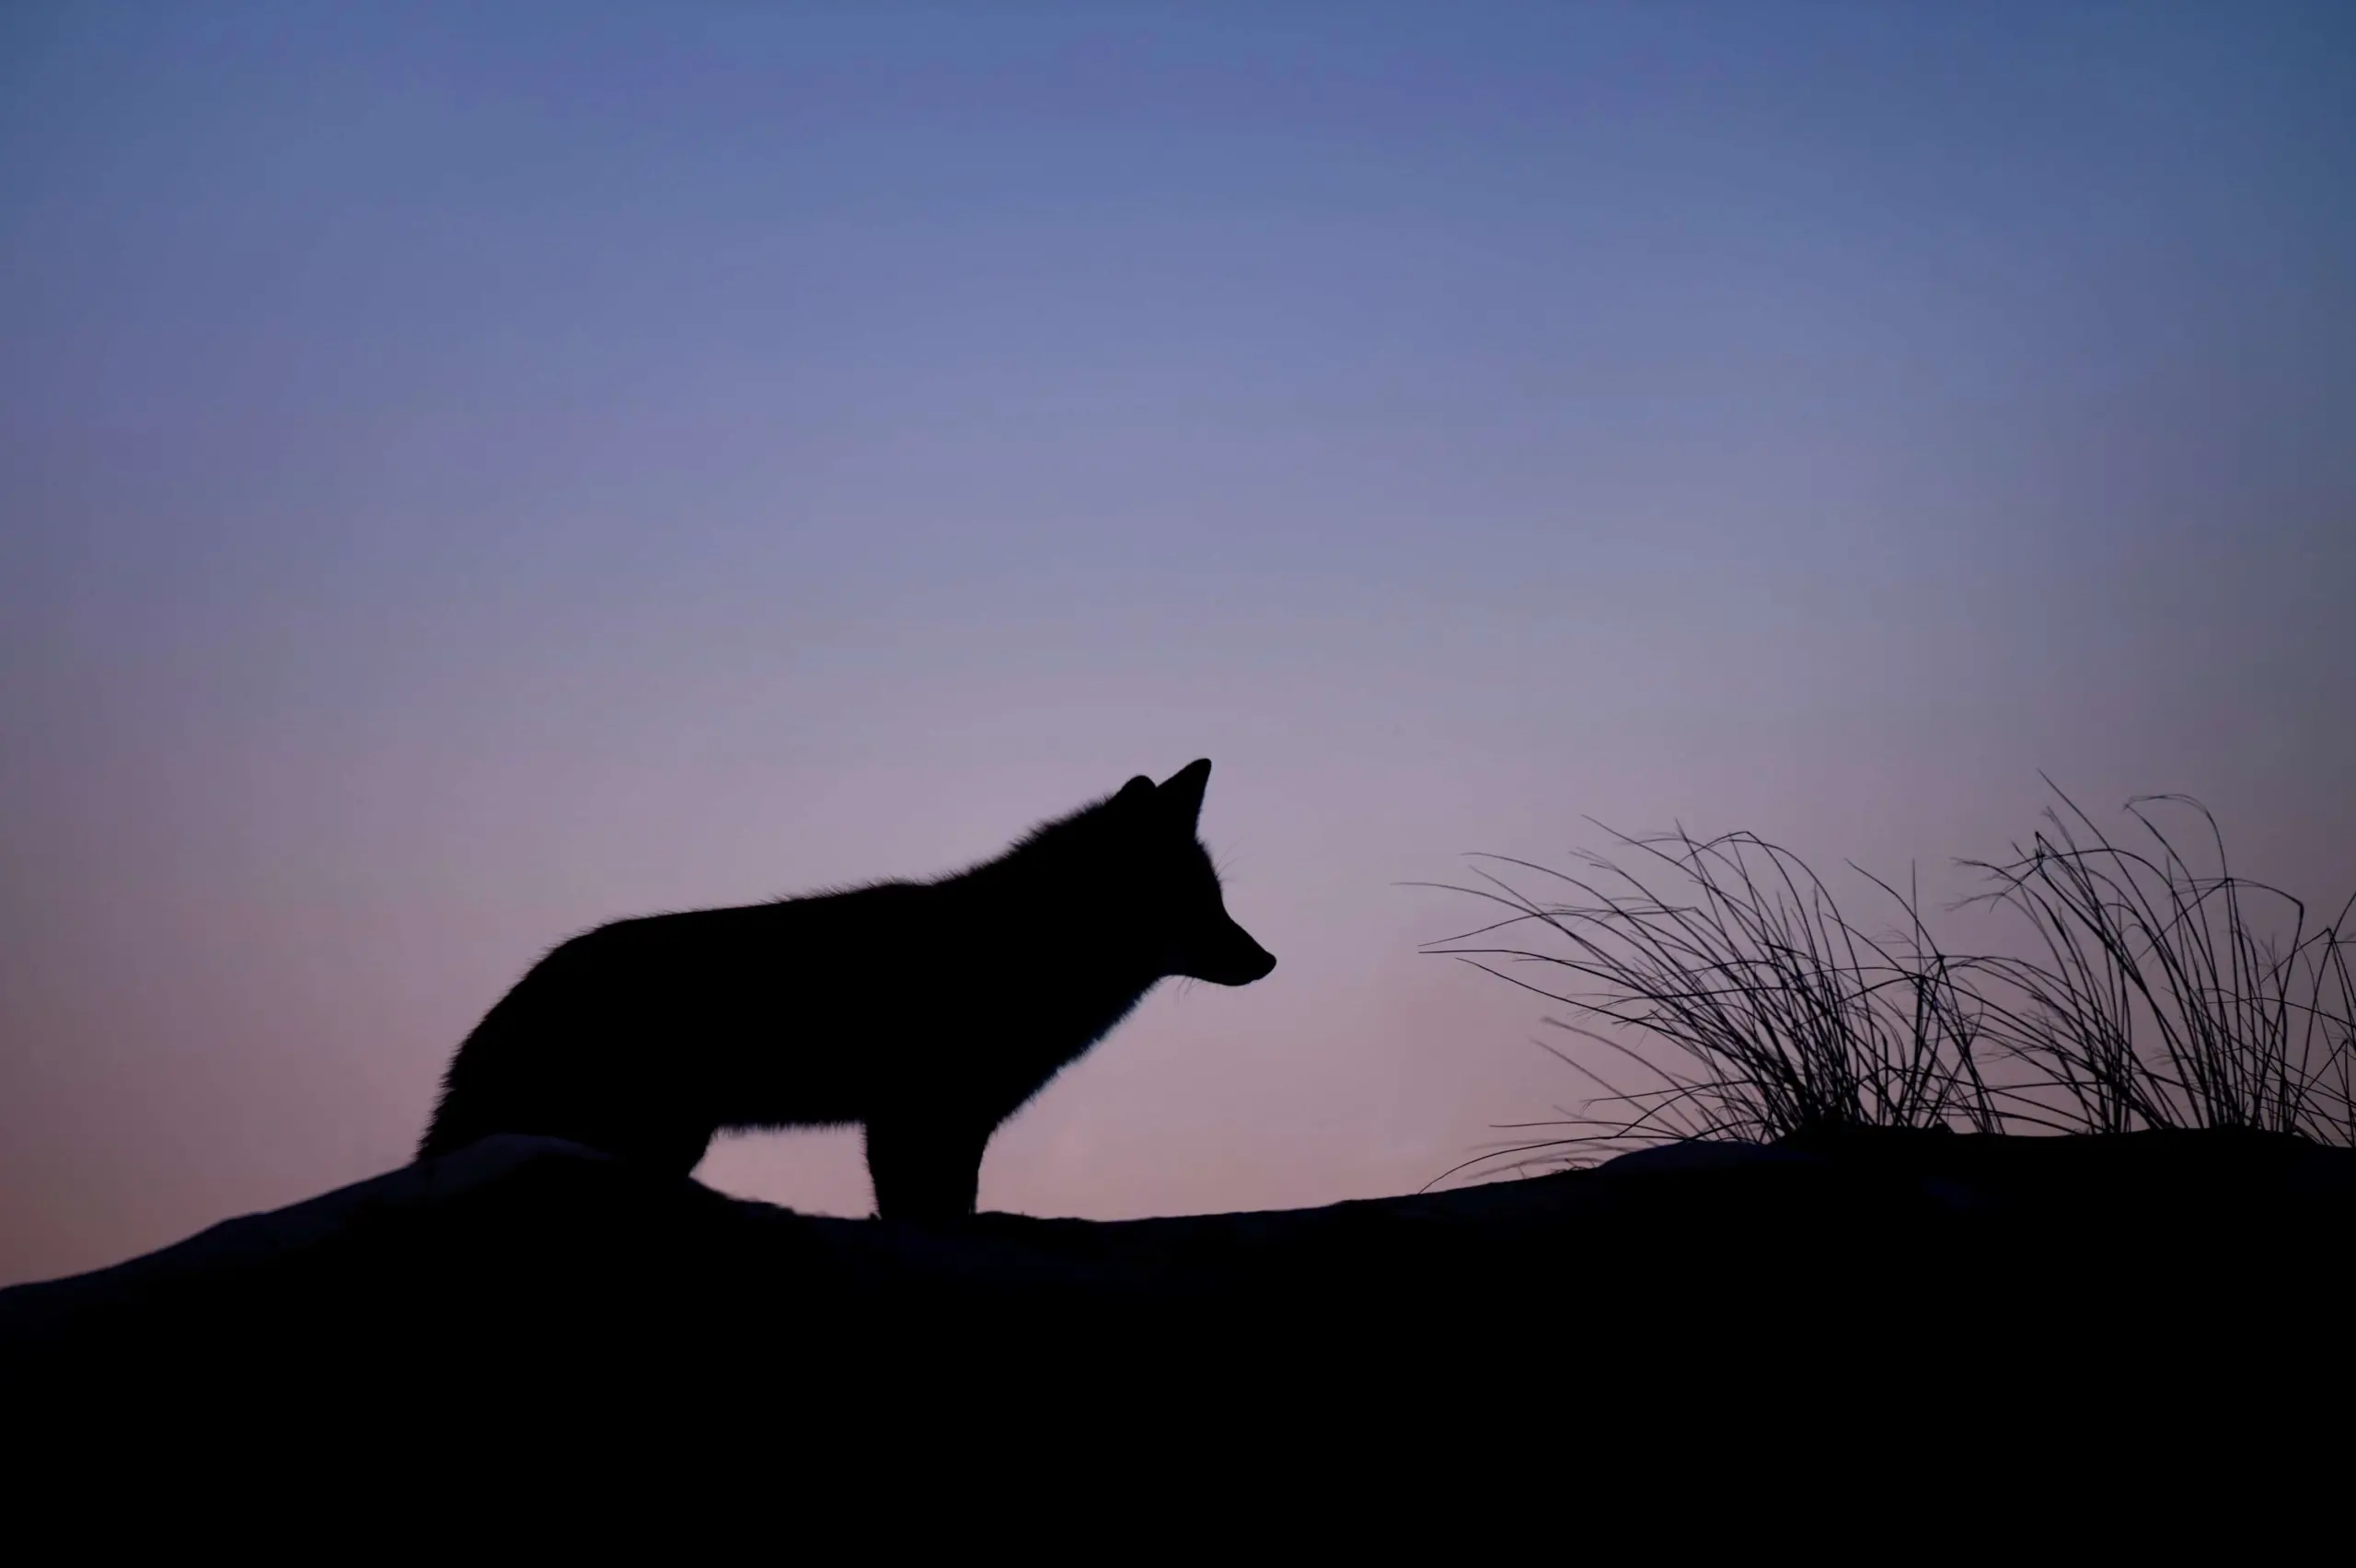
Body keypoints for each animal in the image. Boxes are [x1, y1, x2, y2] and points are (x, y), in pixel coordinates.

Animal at [419, 759, 1275, 1221]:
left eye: (1218, 899)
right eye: (1195, 903)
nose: (1268, 961)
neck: (1021, 950)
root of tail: (510, 1002)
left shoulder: (954, 1124)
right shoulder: (913, 1119)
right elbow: (924, 1214)